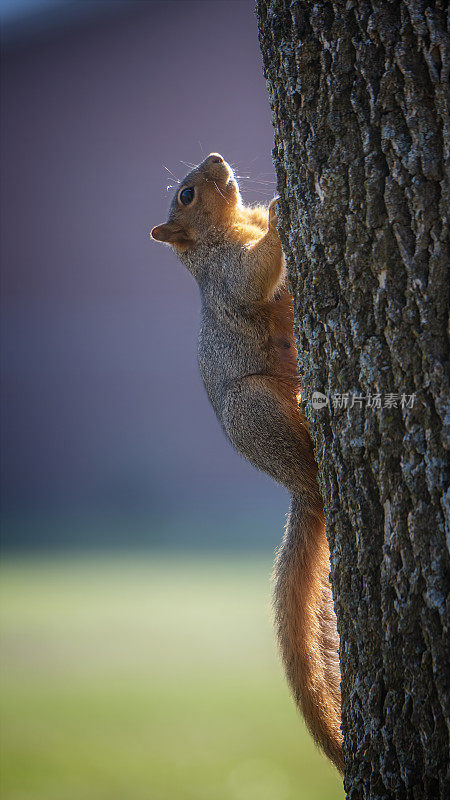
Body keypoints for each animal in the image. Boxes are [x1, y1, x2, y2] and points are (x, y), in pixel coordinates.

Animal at [151, 153, 344, 772]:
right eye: (186, 195)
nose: (216, 159)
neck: (231, 227)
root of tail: (299, 487)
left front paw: (273, 207)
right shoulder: (227, 276)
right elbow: (254, 276)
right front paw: (283, 211)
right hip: (258, 407)